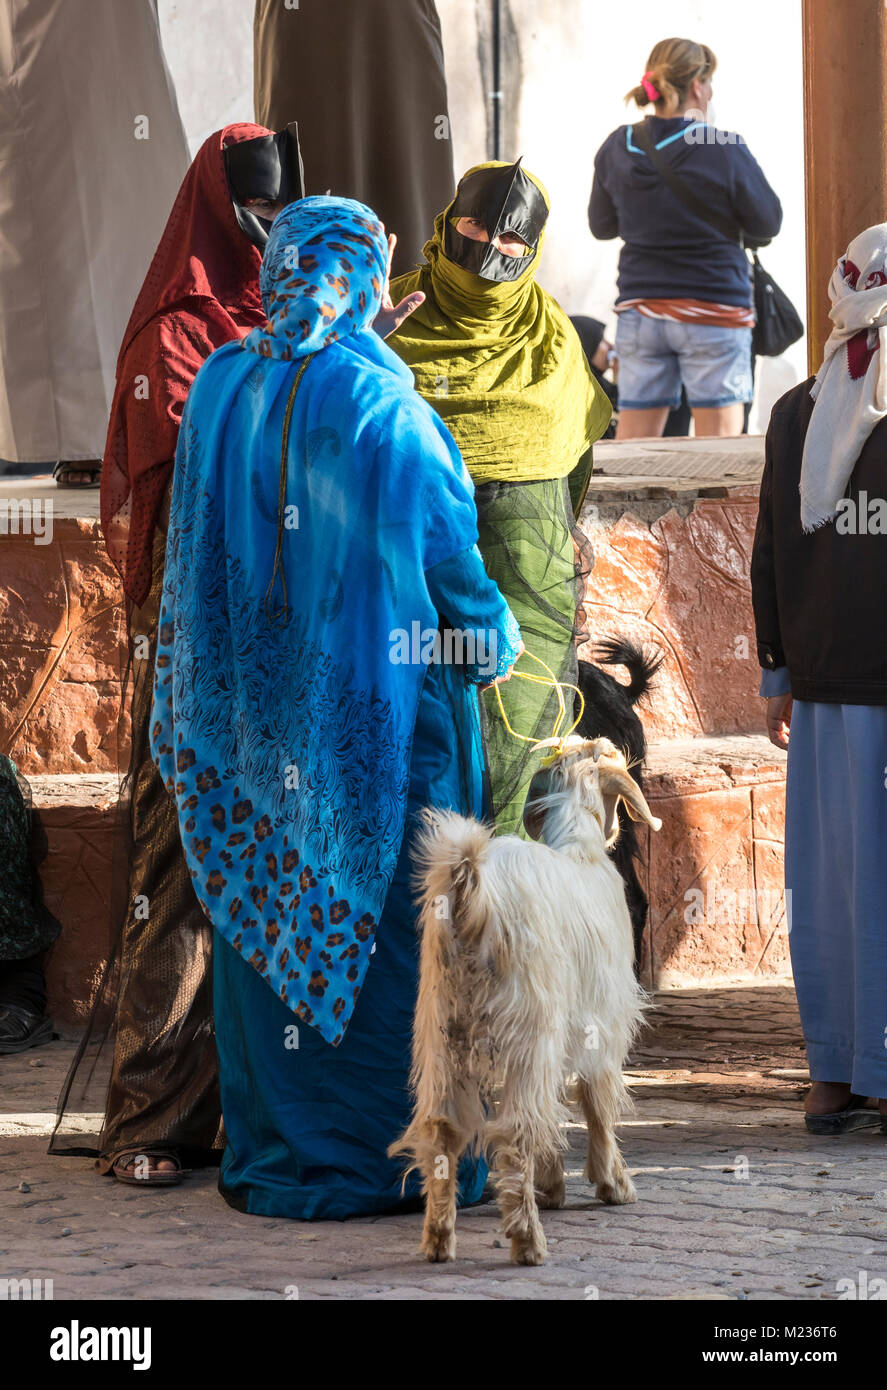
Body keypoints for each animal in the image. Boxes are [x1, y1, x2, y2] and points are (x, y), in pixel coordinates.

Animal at [392, 733, 664, 1267]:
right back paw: (527, 1242)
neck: (578, 847)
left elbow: (555, 1106)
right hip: (527, 1024)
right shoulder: (601, 1018)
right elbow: (596, 1101)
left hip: (442, 1028)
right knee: (516, 1129)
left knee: (443, 1128)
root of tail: (472, 891)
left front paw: (554, 1185)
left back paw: (439, 1239)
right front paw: (612, 1183)